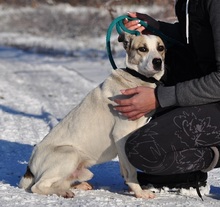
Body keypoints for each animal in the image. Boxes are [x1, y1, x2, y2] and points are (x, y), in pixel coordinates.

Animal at [19, 33, 165, 199]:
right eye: (142, 49)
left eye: (161, 48)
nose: (158, 62)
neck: (137, 79)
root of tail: (29, 168)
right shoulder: (122, 136)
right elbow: (131, 171)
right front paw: (139, 192)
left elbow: (125, 169)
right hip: (70, 153)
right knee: (38, 186)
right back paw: (63, 192)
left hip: (83, 170)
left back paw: (76, 185)